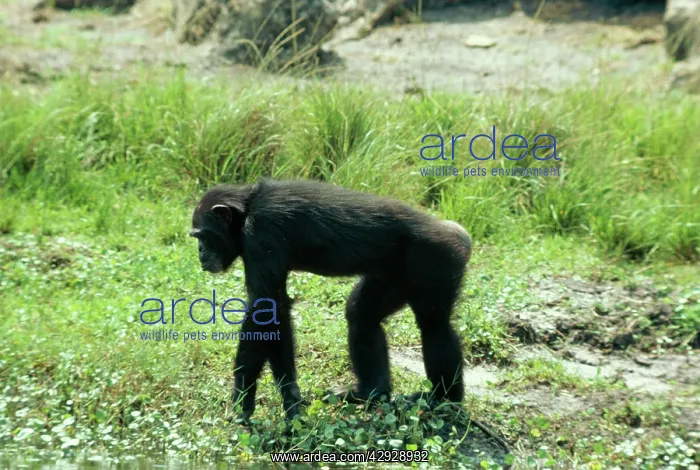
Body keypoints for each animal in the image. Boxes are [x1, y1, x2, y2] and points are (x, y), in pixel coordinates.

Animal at [190, 179, 472, 421]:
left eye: (201, 236)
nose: (200, 252)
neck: (247, 211)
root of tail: (457, 232)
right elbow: (276, 313)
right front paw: (290, 398)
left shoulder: (261, 234)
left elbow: (265, 309)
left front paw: (243, 398)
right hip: (395, 275)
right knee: (362, 315)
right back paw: (370, 392)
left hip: (435, 259)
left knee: (434, 327)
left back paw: (443, 399)